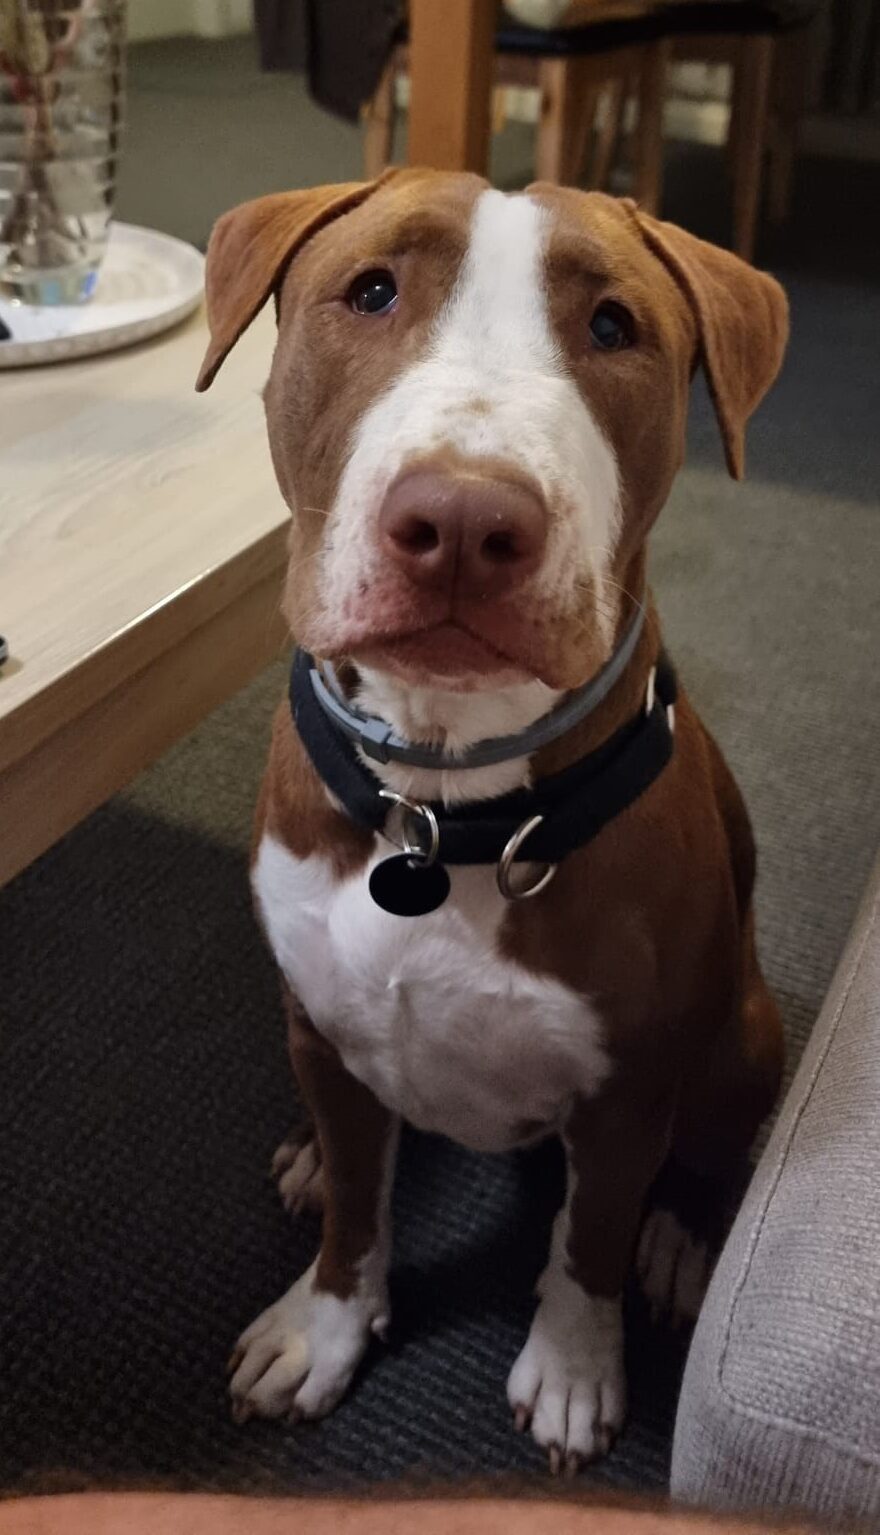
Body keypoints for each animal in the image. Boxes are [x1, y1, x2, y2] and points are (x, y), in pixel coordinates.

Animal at [196, 169, 787, 1472]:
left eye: (614, 327)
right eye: (370, 290)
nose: (464, 521)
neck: (439, 806)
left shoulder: (624, 1089)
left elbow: (588, 1238)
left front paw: (572, 1367)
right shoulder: (318, 1020)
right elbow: (359, 1210)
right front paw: (323, 1325)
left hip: (743, 1030)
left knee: (702, 1156)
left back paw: (682, 1241)